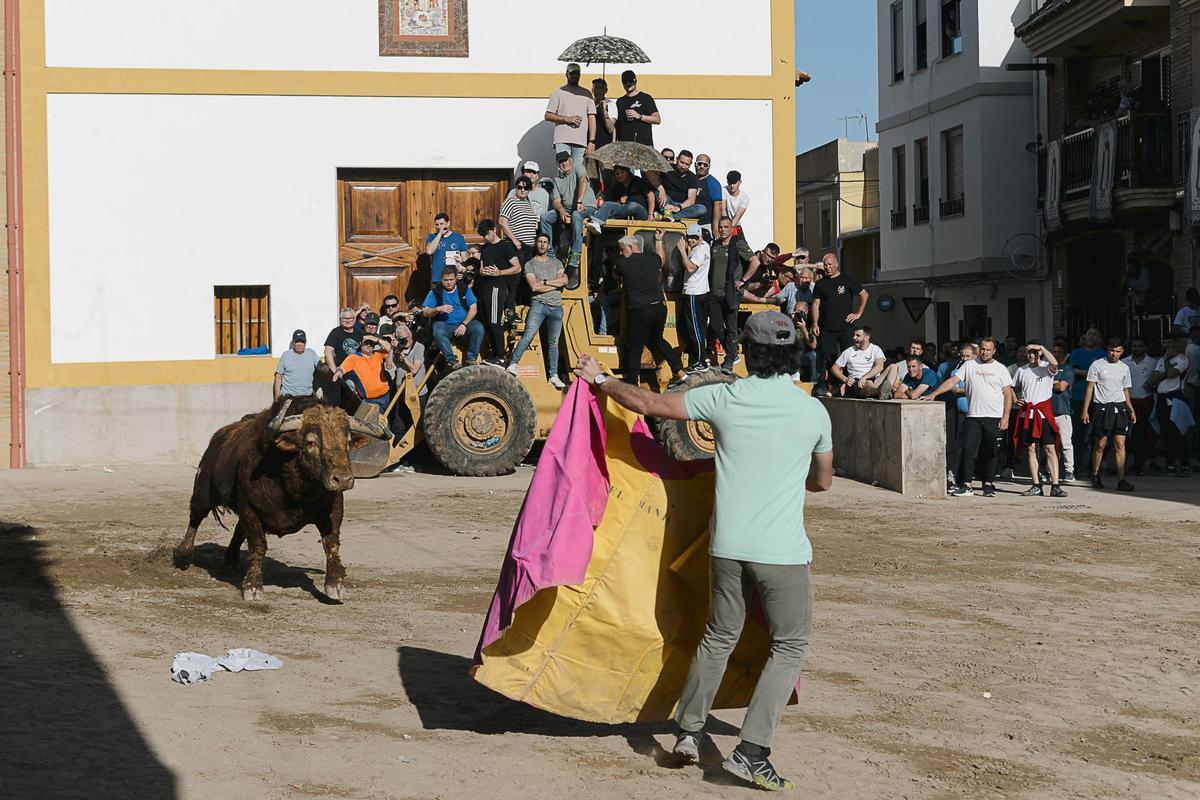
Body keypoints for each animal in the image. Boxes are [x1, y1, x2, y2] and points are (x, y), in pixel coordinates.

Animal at [174, 398, 386, 604]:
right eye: (310, 442)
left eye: (348, 440)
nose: (342, 479)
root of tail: (218, 437)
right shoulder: (250, 506)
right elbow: (258, 545)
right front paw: (253, 587)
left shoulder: (333, 507)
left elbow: (331, 544)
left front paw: (335, 585)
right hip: (203, 490)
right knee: (195, 518)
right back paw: (183, 554)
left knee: (238, 529)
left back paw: (231, 559)